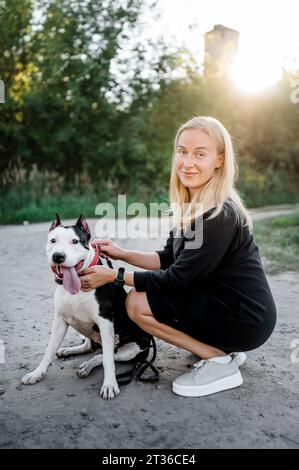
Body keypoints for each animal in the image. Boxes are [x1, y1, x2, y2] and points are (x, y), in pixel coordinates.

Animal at [21, 213, 155, 400]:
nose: (58, 256)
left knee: (106, 355)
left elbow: (107, 360)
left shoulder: (105, 322)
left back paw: (88, 366)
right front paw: (37, 373)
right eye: (53, 240)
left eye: (75, 241)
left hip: (134, 348)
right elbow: (48, 351)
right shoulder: (60, 320)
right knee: (90, 346)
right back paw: (69, 351)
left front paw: (110, 385)